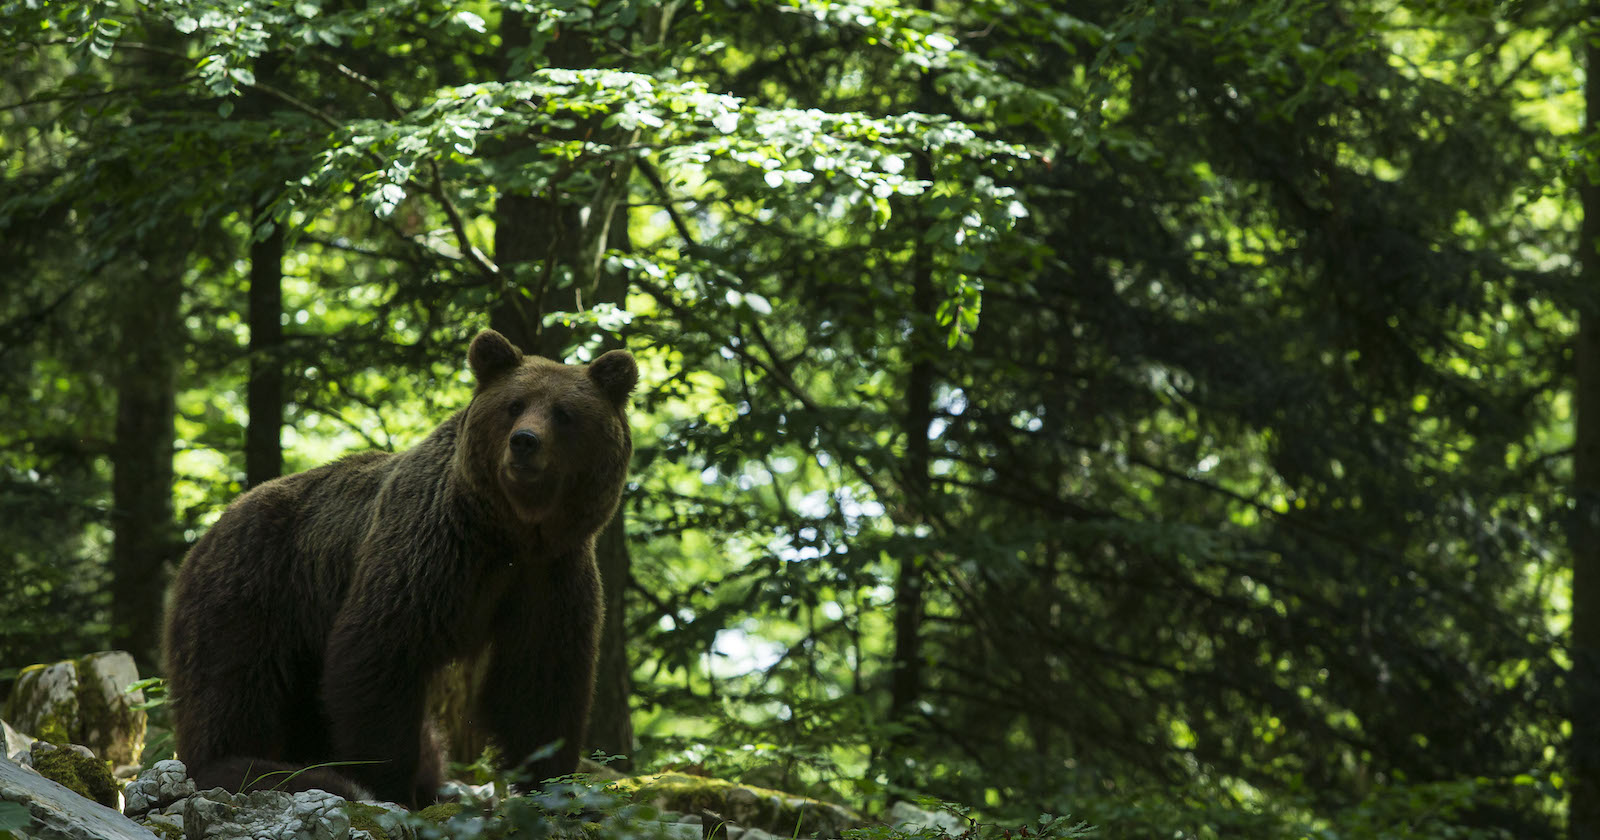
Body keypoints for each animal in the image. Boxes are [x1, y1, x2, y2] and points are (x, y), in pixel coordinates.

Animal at [162, 328, 636, 807]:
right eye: (514, 404)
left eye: (564, 413)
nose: (524, 441)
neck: (510, 531)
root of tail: (206, 533)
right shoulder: (431, 552)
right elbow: (380, 654)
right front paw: (388, 786)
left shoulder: (549, 575)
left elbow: (540, 681)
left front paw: (549, 783)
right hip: (250, 593)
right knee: (232, 688)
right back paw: (249, 766)